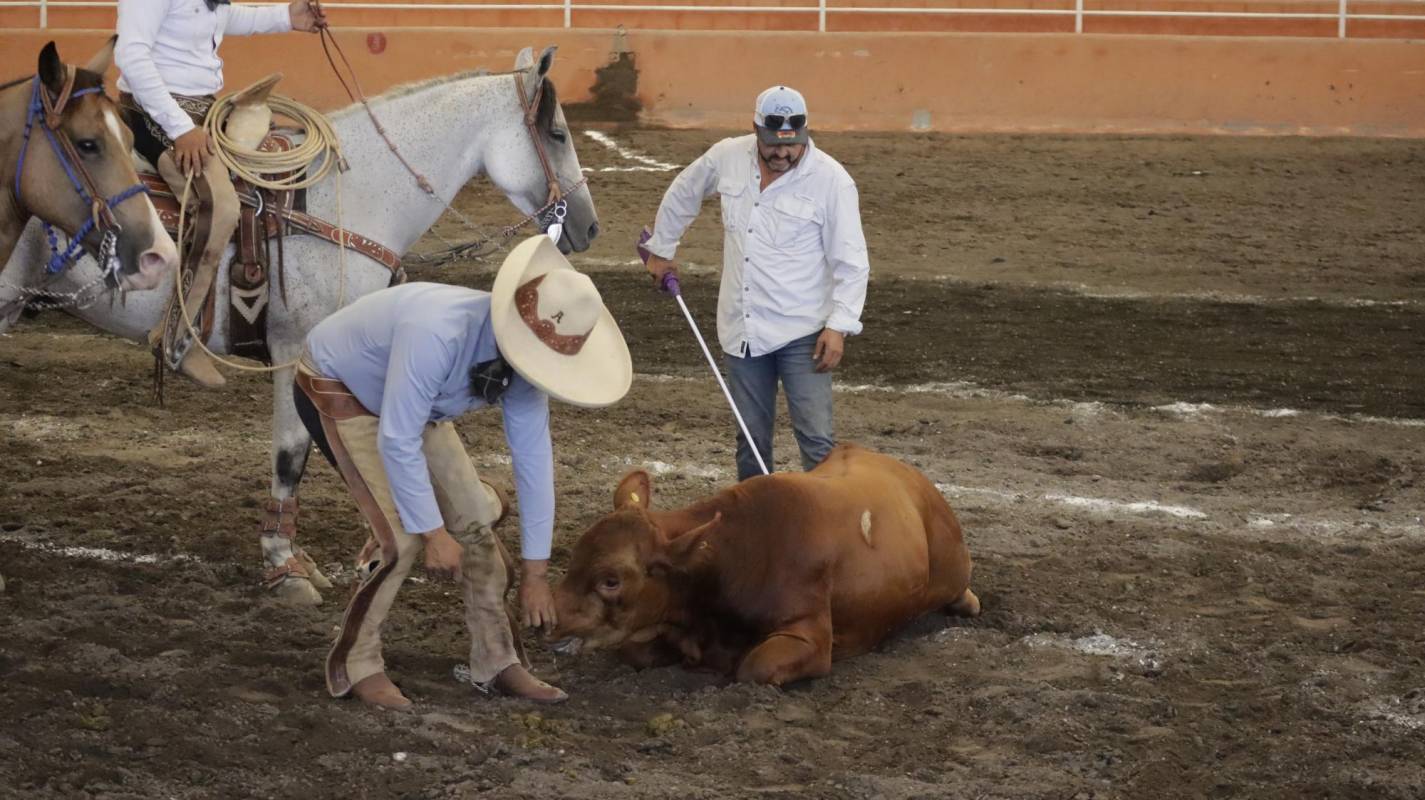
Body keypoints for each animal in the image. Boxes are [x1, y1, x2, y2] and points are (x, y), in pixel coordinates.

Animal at [547, 439, 980, 684]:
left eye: (611, 580)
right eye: (576, 556)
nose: (550, 618)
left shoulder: (810, 637)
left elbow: (753, 668)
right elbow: (634, 651)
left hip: (953, 571)